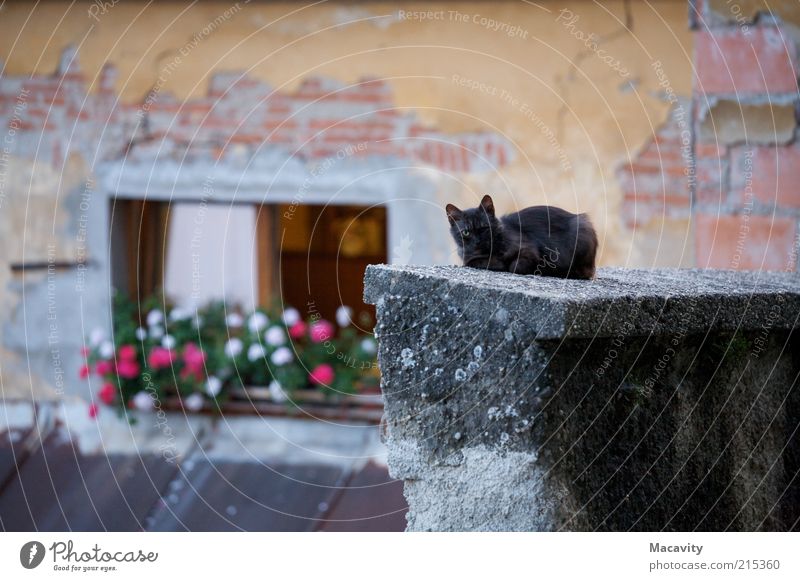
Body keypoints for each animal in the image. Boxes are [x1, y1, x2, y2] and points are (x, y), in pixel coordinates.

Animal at [446, 195, 596, 280]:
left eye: (484, 228)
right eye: (466, 232)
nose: (478, 241)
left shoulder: (530, 250)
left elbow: (514, 266)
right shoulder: (468, 259)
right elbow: (474, 261)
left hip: (581, 229)